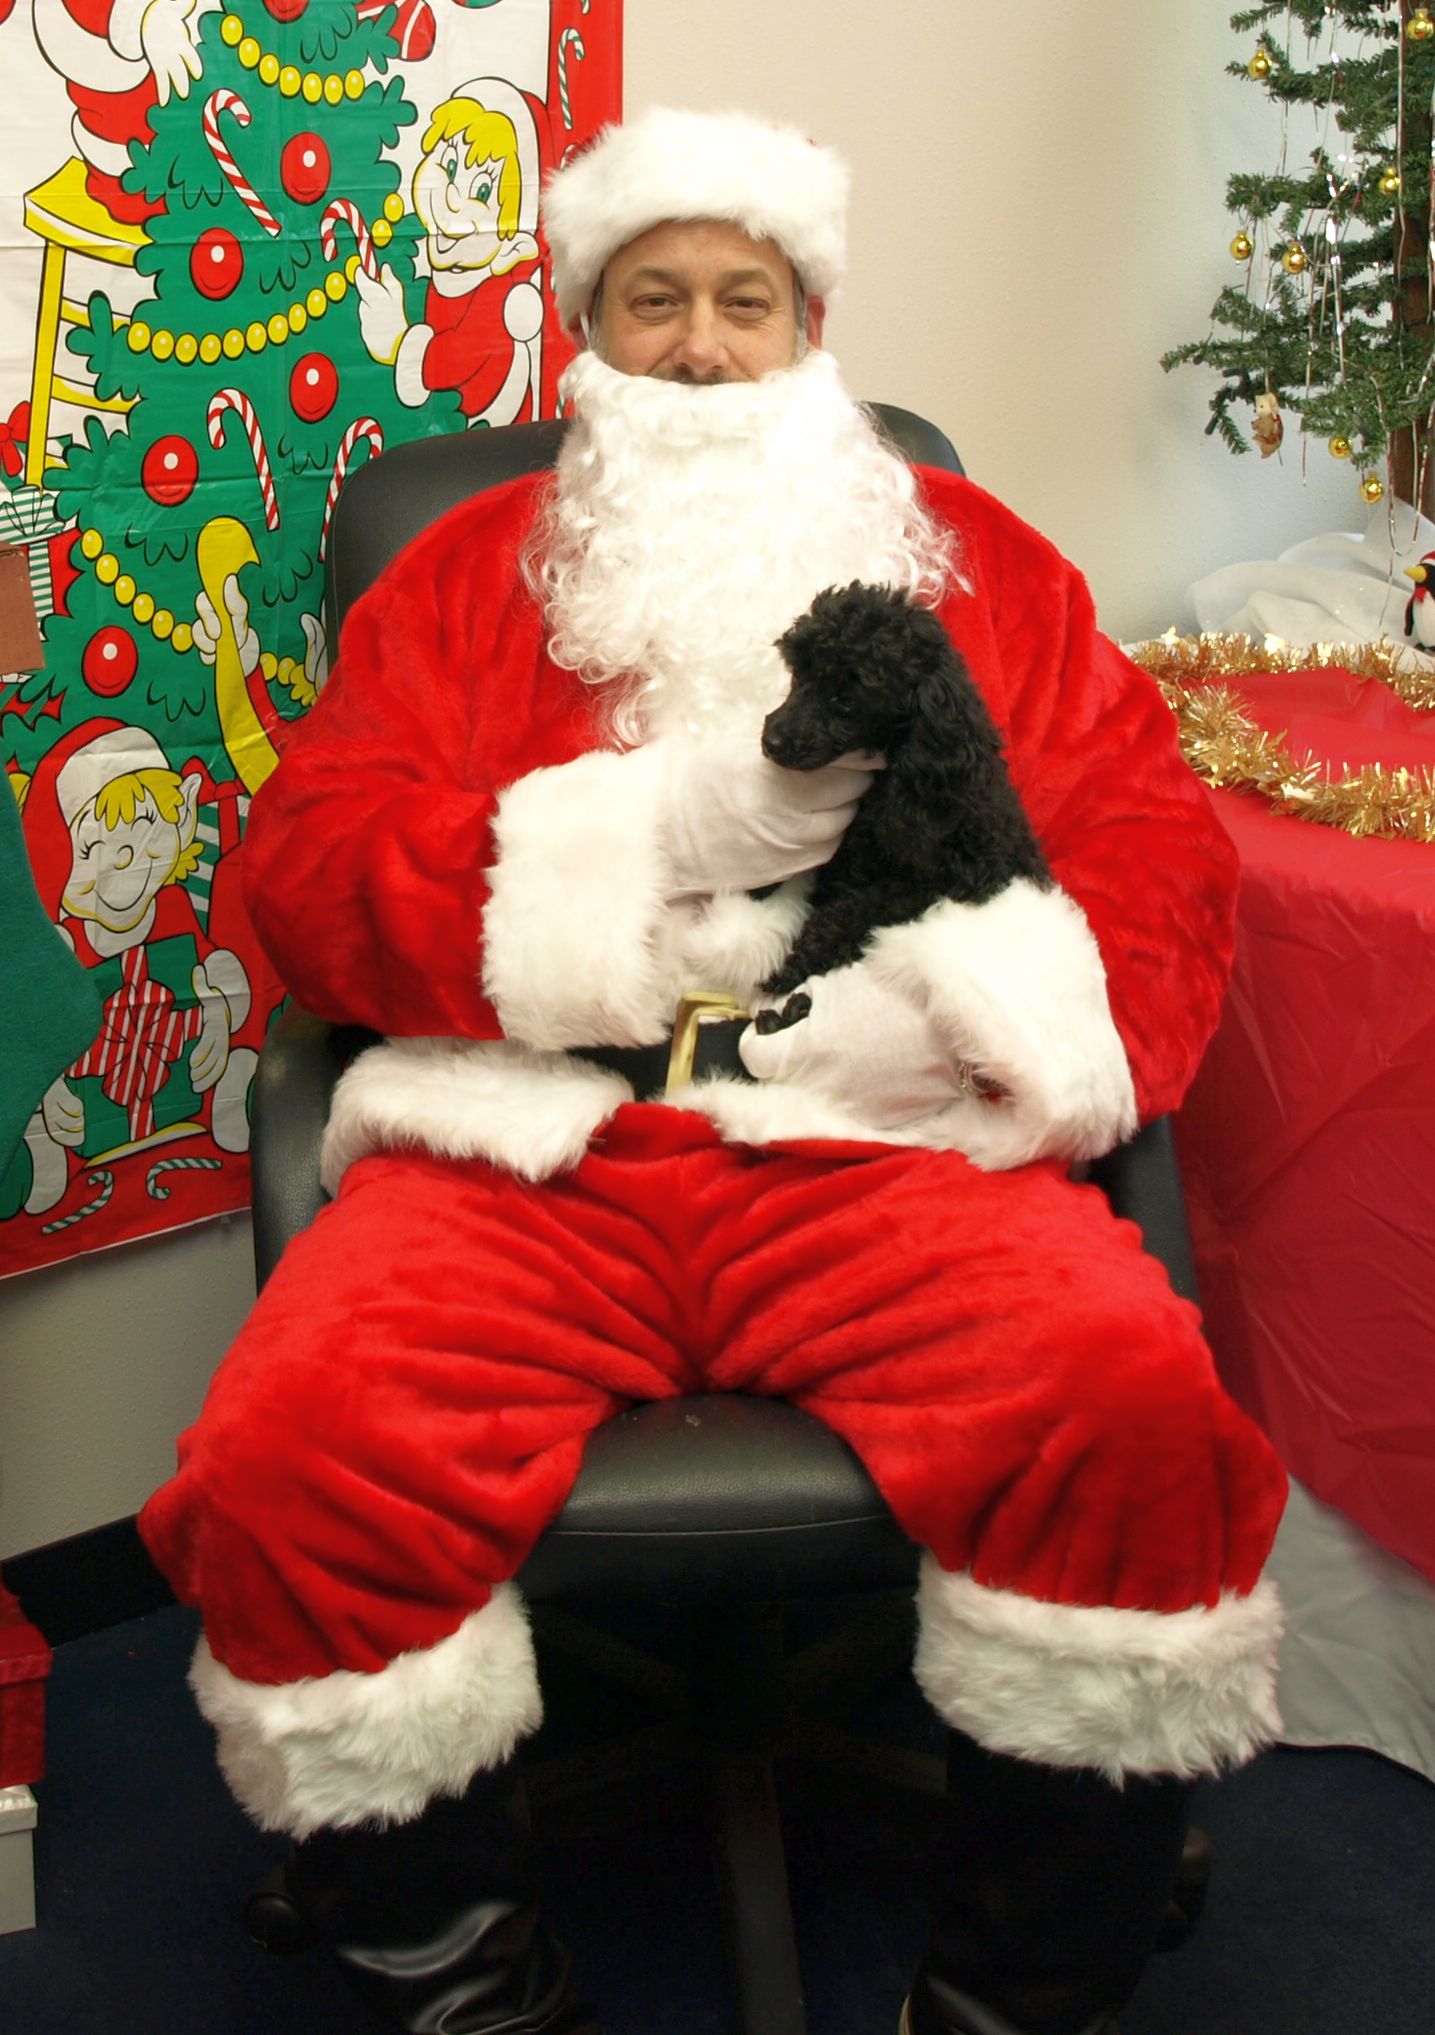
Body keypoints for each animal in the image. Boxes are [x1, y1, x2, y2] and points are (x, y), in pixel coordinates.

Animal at [754, 581, 1051, 1033]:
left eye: (846, 698)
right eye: (799, 674)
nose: (771, 740)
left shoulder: (929, 886)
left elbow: (850, 913)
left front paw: (790, 971)